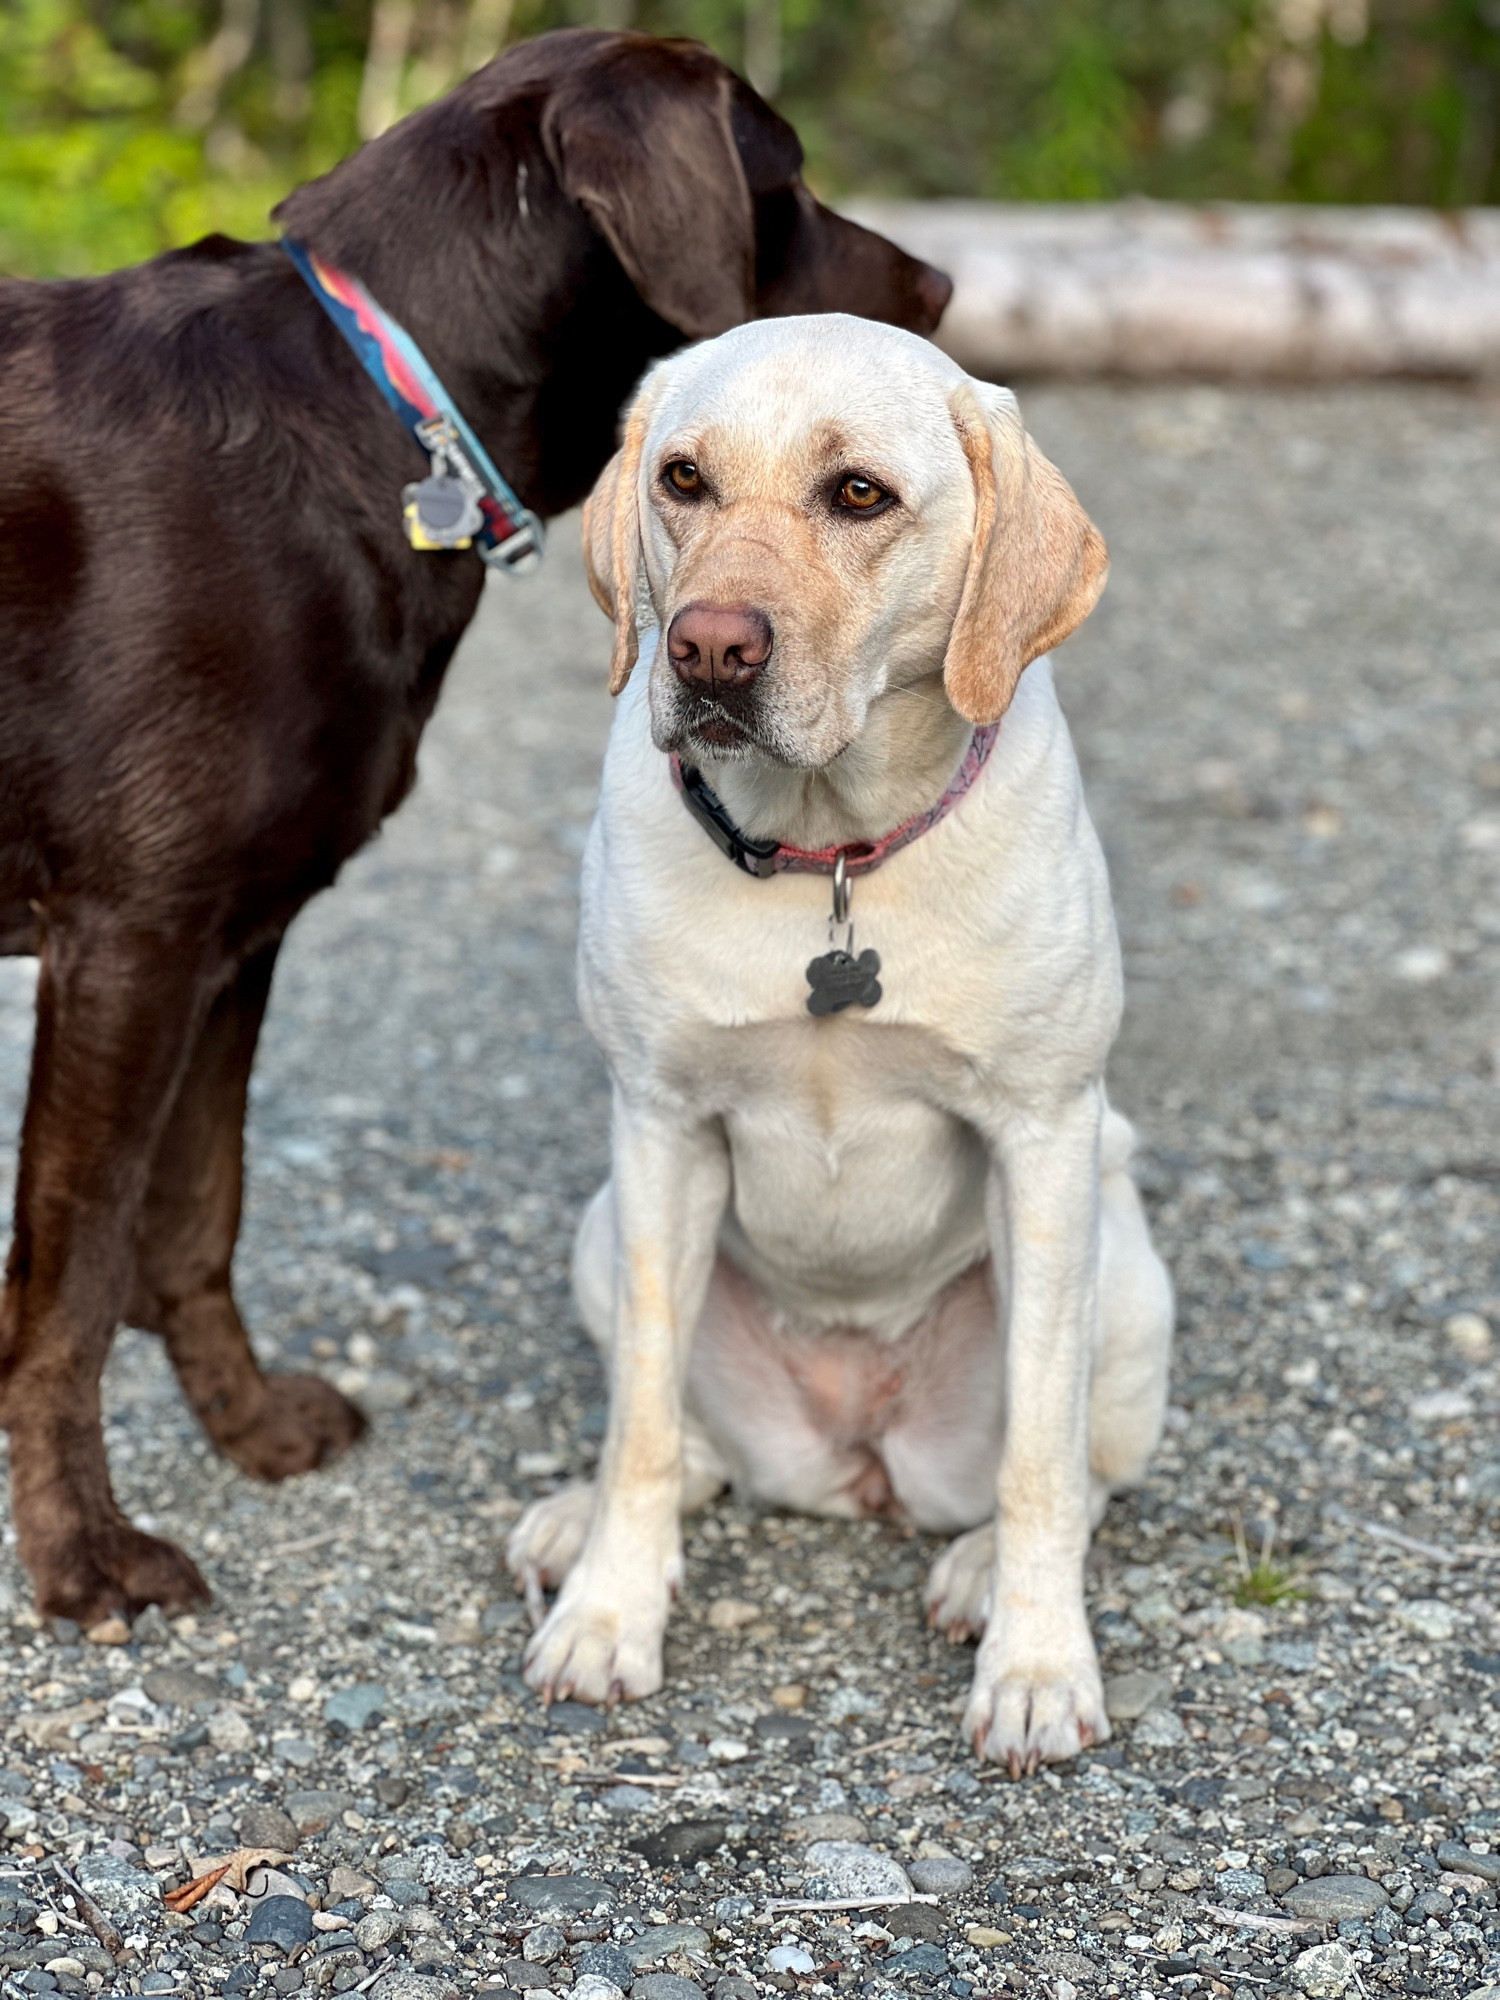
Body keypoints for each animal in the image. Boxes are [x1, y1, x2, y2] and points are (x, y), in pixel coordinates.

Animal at [0, 27, 944, 1624]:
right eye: (789, 179)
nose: (937, 288)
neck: (389, 410)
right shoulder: (128, 938)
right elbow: (66, 1279)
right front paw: (78, 1550)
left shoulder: (232, 935)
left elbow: (196, 1215)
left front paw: (247, 1426)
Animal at [512, 320, 1184, 1776]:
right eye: (684, 479)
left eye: (859, 494)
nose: (707, 649)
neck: (826, 851)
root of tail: (857, 1450)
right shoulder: (657, 1129)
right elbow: (639, 1425)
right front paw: (608, 1611)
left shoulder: (1043, 1140)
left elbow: (1040, 1458)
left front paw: (1036, 1663)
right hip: (602, 1228)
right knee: (681, 1437)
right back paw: (577, 1523)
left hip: (1122, 1275)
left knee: (1079, 1470)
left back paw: (983, 1570)